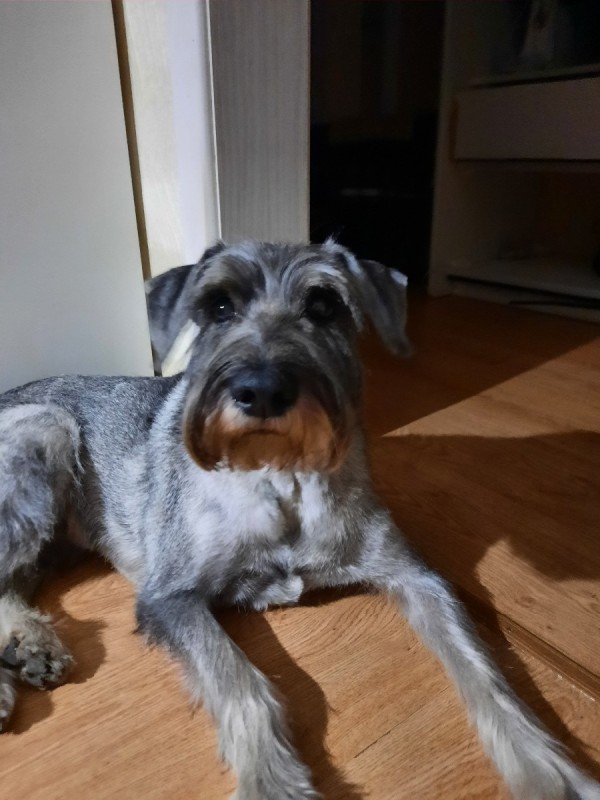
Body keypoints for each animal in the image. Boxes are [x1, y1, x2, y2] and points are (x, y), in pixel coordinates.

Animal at [1, 240, 598, 800]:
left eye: (324, 304)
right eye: (219, 306)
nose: (263, 391)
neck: (280, 478)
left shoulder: (416, 578)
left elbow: (485, 674)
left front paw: (551, 774)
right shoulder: (173, 597)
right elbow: (242, 684)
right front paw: (273, 785)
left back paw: (27, 648)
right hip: (48, 433)